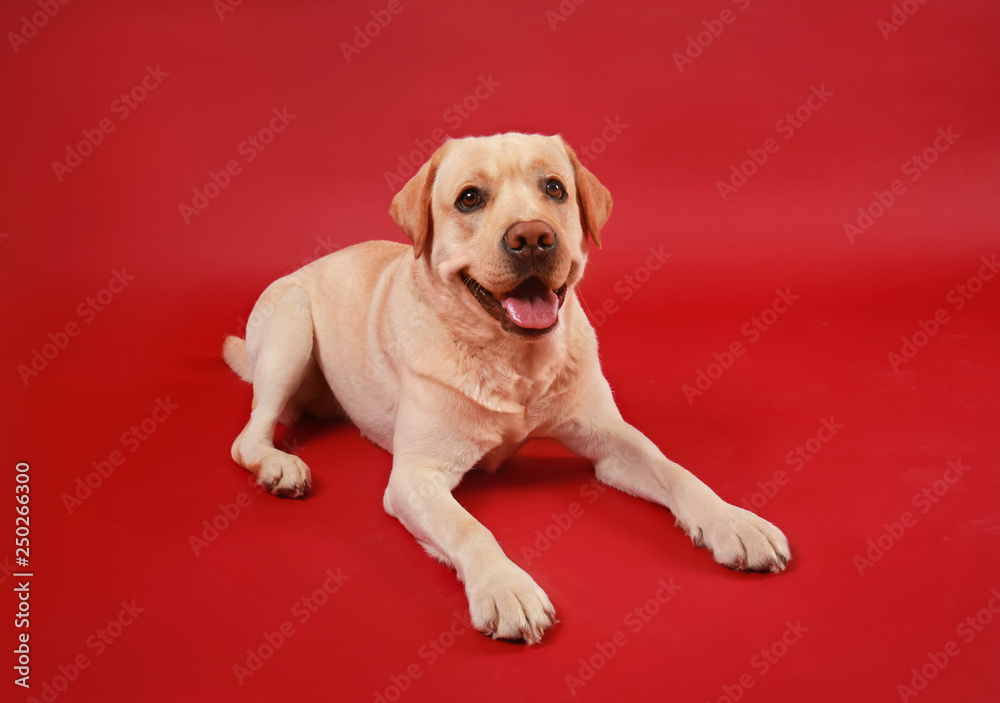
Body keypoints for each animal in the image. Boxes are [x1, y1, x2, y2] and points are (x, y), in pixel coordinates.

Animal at [225, 131, 788, 644]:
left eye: (554, 188)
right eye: (469, 197)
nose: (533, 237)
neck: (515, 363)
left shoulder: (611, 438)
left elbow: (675, 471)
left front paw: (733, 521)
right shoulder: (415, 478)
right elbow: (469, 527)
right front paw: (505, 588)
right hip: (290, 327)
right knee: (249, 435)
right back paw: (278, 465)